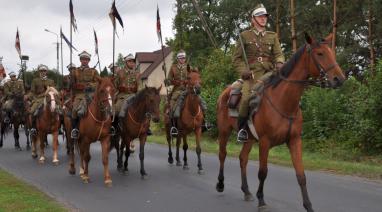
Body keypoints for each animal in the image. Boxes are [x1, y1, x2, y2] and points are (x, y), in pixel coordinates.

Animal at [215, 33, 346, 212]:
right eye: (320, 54)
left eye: (332, 52)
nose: (339, 79)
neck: (284, 102)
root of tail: (226, 91)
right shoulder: (264, 142)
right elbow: (263, 172)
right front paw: (261, 200)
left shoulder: (295, 141)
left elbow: (301, 175)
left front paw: (308, 205)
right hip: (224, 131)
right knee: (222, 154)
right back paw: (220, 184)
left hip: (249, 138)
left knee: (243, 158)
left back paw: (246, 191)